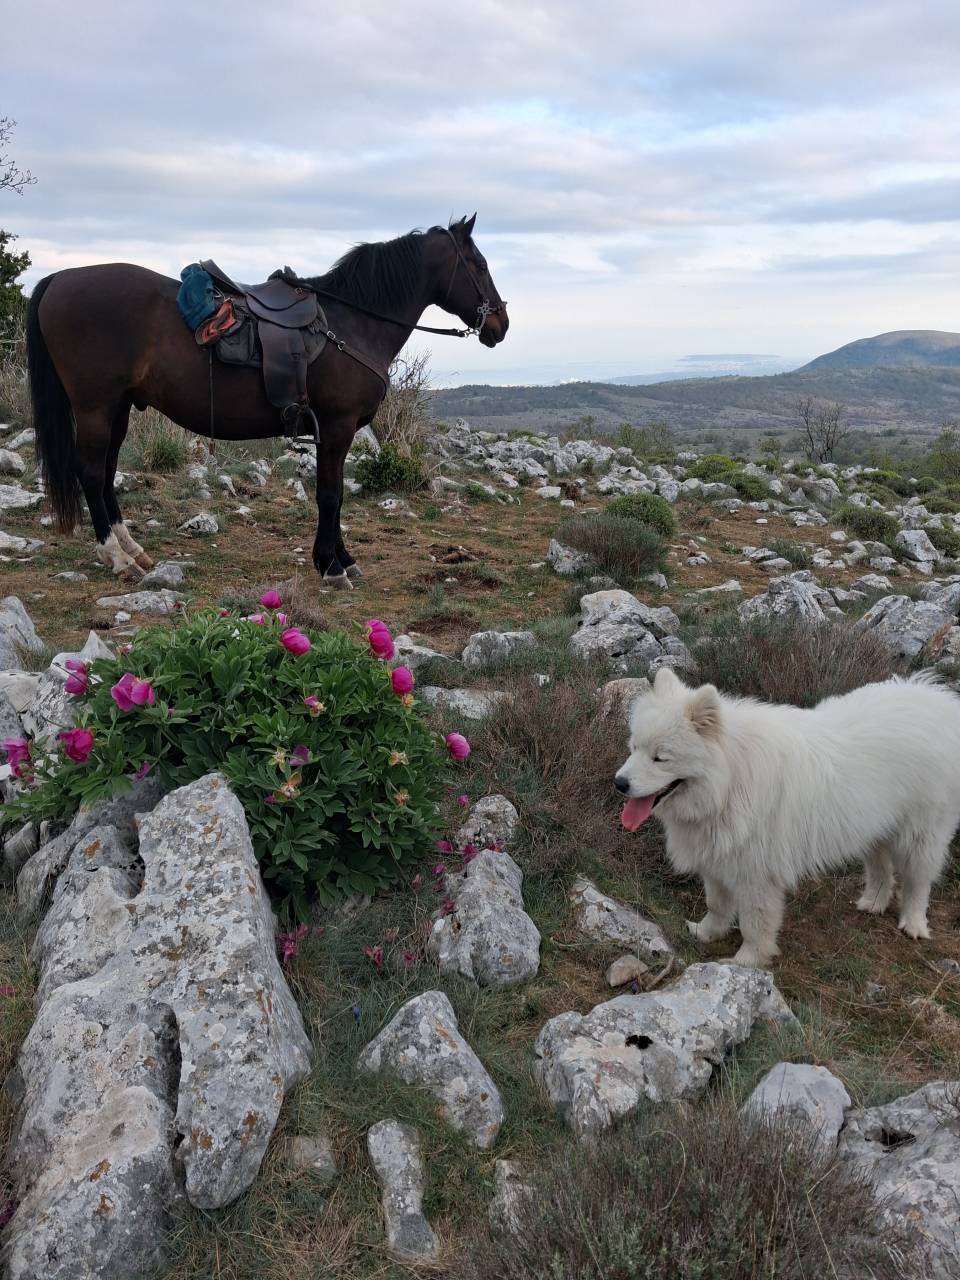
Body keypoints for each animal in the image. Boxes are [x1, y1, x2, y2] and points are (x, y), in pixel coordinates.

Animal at [26, 214, 508, 588]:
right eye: (480, 264)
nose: (500, 324)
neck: (352, 323)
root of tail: (59, 278)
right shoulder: (337, 427)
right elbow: (330, 494)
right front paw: (331, 566)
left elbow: (335, 496)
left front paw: (342, 559)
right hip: (95, 406)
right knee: (91, 472)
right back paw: (117, 557)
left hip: (119, 407)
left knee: (107, 472)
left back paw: (132, 548)